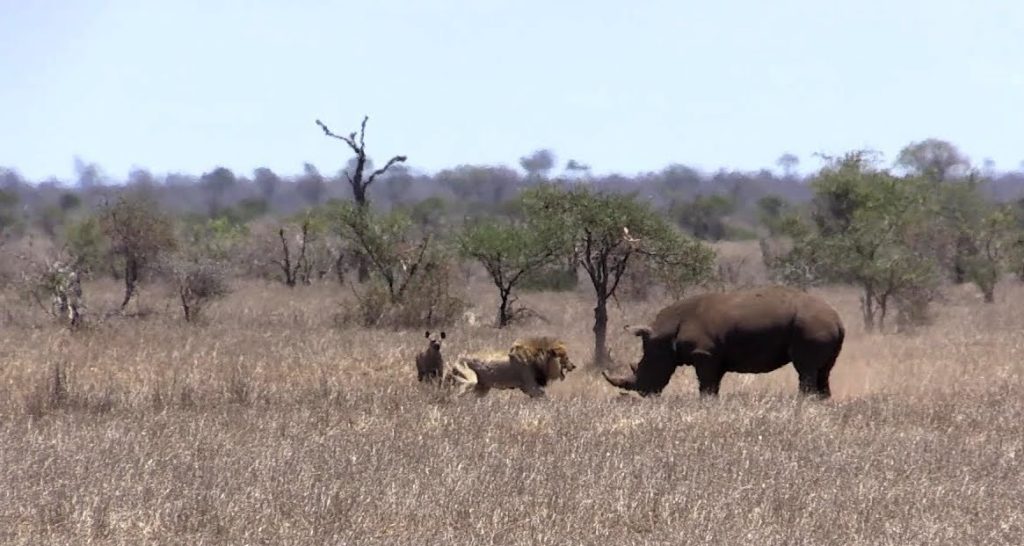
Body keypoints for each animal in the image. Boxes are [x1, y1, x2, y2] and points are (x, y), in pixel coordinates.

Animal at [444, 333, 577, 397]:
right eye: (566, 358)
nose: (574, 366)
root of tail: (457, 358)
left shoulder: (527, 388)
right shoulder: (531, 385)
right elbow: (544, 396)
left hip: (482, 388)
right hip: (470, 380)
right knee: (458, 395)